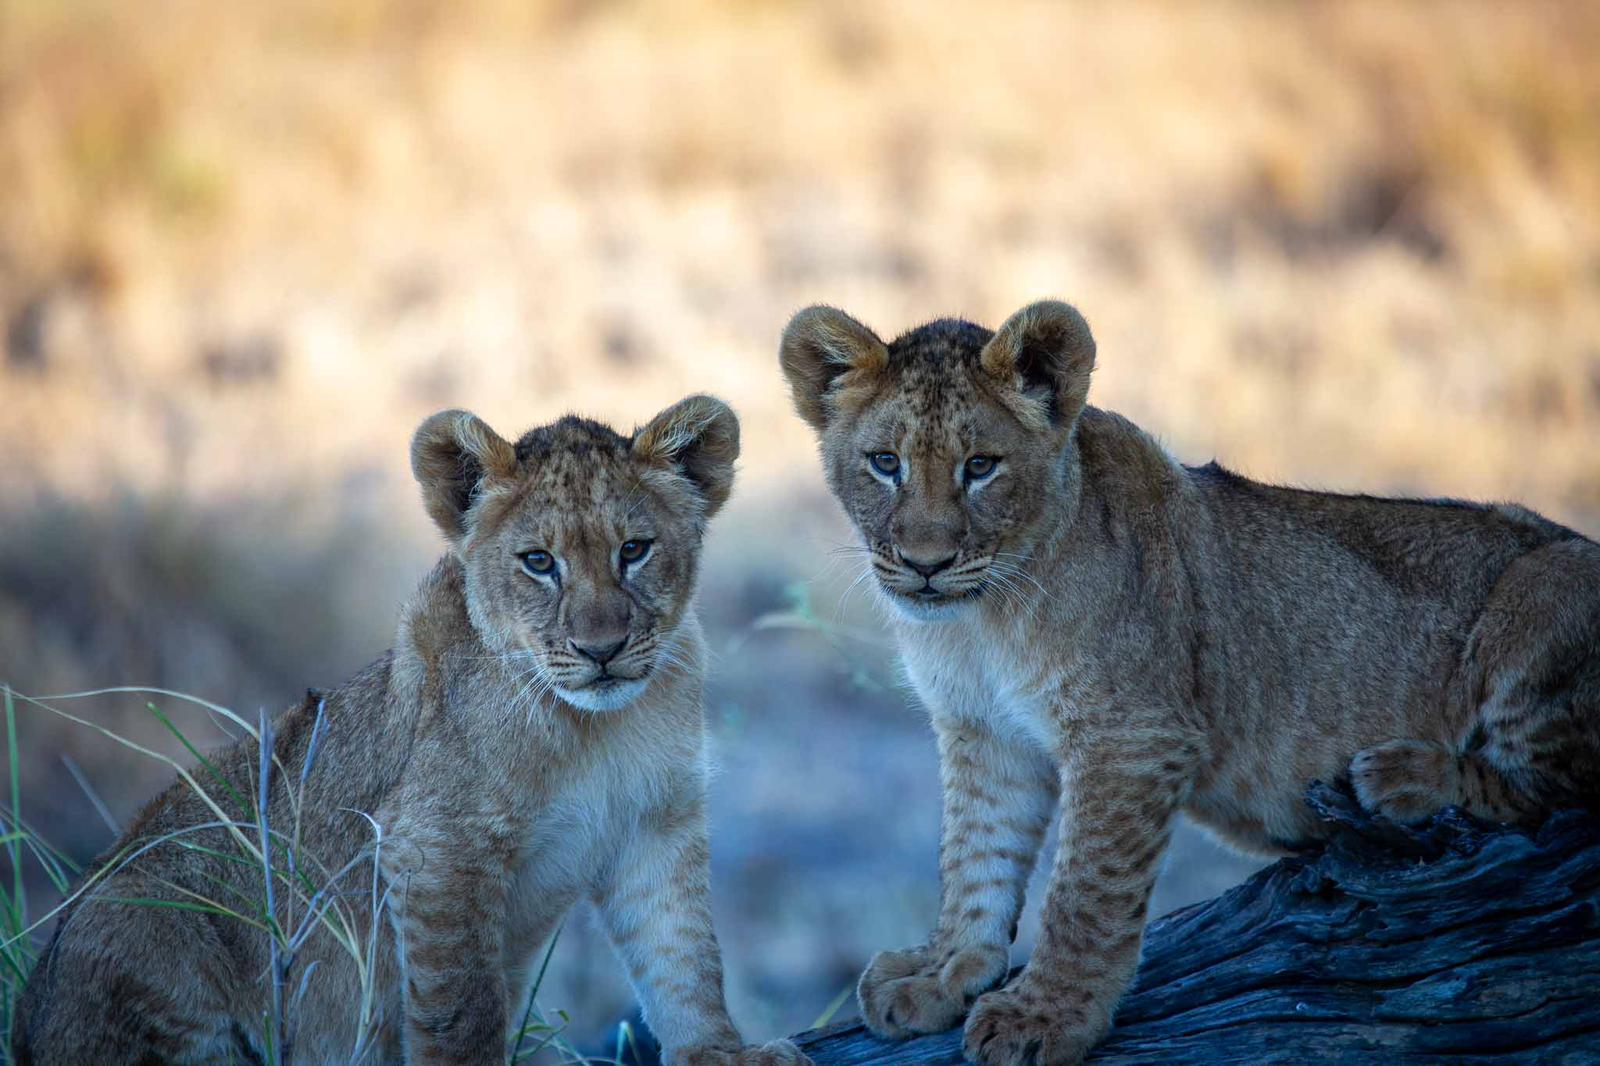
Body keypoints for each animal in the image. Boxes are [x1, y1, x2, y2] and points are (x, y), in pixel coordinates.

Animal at [13, 396, 811, 1066]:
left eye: (635, 550)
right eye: (539, 562)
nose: (602, 649)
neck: (597, 729)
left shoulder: (656, 824)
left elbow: (684, 957)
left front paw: (724, 1056)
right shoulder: (435, 846)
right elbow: (463, 1011)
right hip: (138, 920)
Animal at [779, 300, 1600, 1066]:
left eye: (980, 466)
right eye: (884, 463)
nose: (926, 564)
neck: (979, 621)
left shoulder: (1134, 735)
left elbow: (1085, 894)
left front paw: (1047, 1018)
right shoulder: (983, 734)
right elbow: (976, 857)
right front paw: (945, 974)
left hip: (1547, 584)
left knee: (1557, 789)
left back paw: (1401, 777)